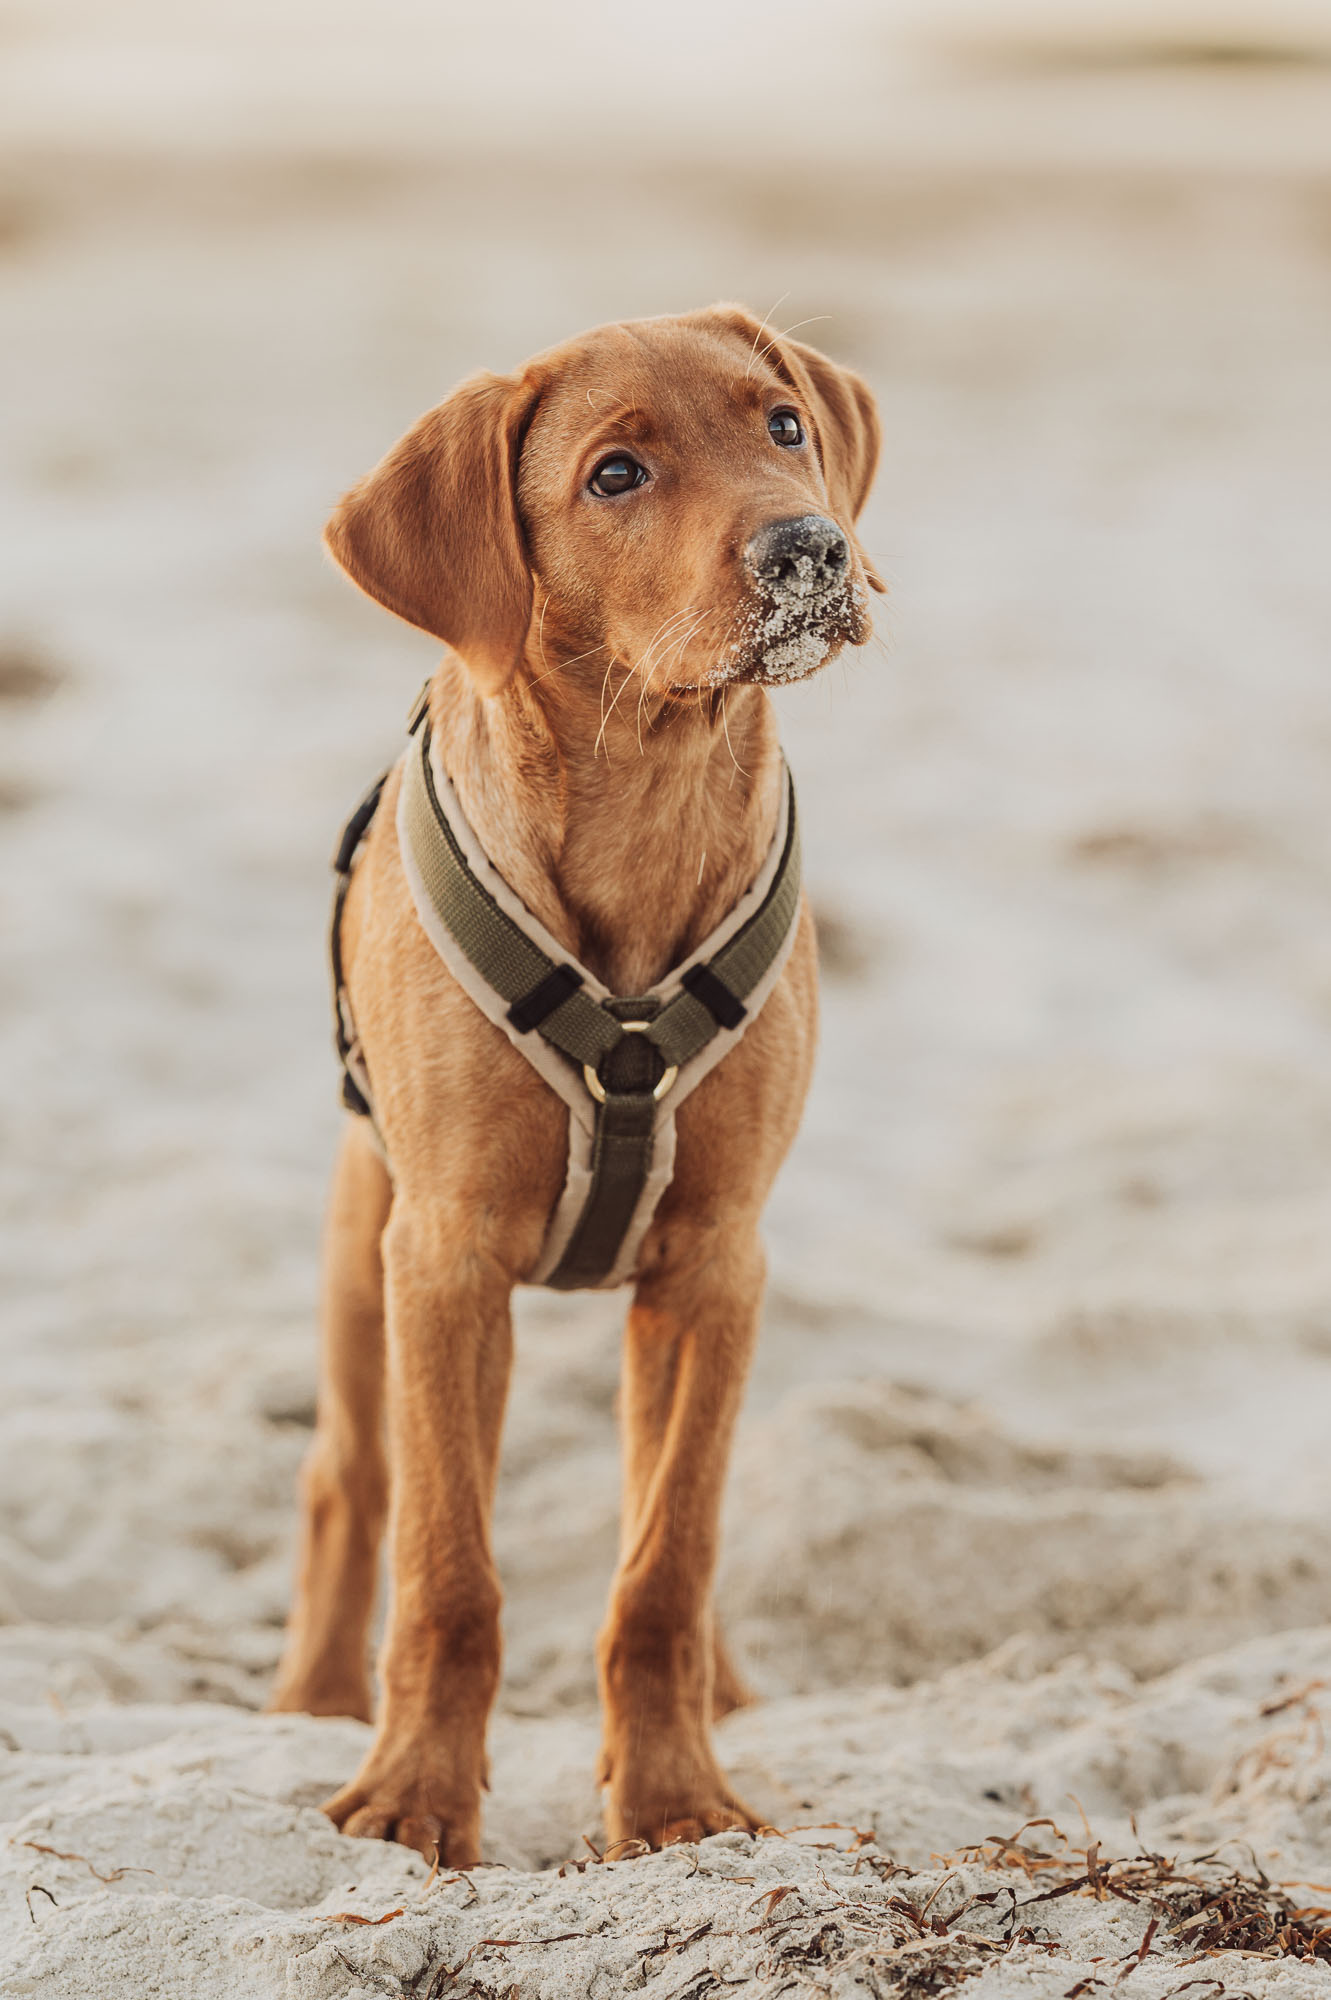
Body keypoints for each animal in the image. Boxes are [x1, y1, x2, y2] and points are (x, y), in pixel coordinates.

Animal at [263, 304, 875, 1864]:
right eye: (613, 475)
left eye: (783, 424)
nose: (810, 548)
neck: (645, 797)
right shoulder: (444, 1257)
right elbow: (448, 1570)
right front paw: (413, 1794)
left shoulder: (717, 1263)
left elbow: (664, 1560)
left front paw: (672, 1799)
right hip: (358, 1240)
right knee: (347, 1475)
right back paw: (309, 1702)